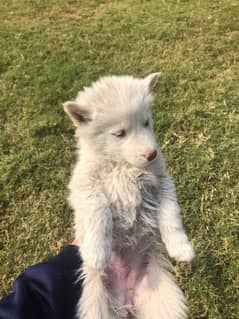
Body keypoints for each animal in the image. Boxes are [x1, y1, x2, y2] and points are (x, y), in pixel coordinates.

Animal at [63, 74, 194, 319]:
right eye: (119, 133)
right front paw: (96, 252)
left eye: (146, 122)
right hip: (98, 305)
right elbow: (98, 210)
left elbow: (171, 215)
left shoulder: (163, 183)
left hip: (162, 302)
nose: (152, 154)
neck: (123, 165)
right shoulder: (85, 185)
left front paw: (181, 248)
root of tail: (127, 300)